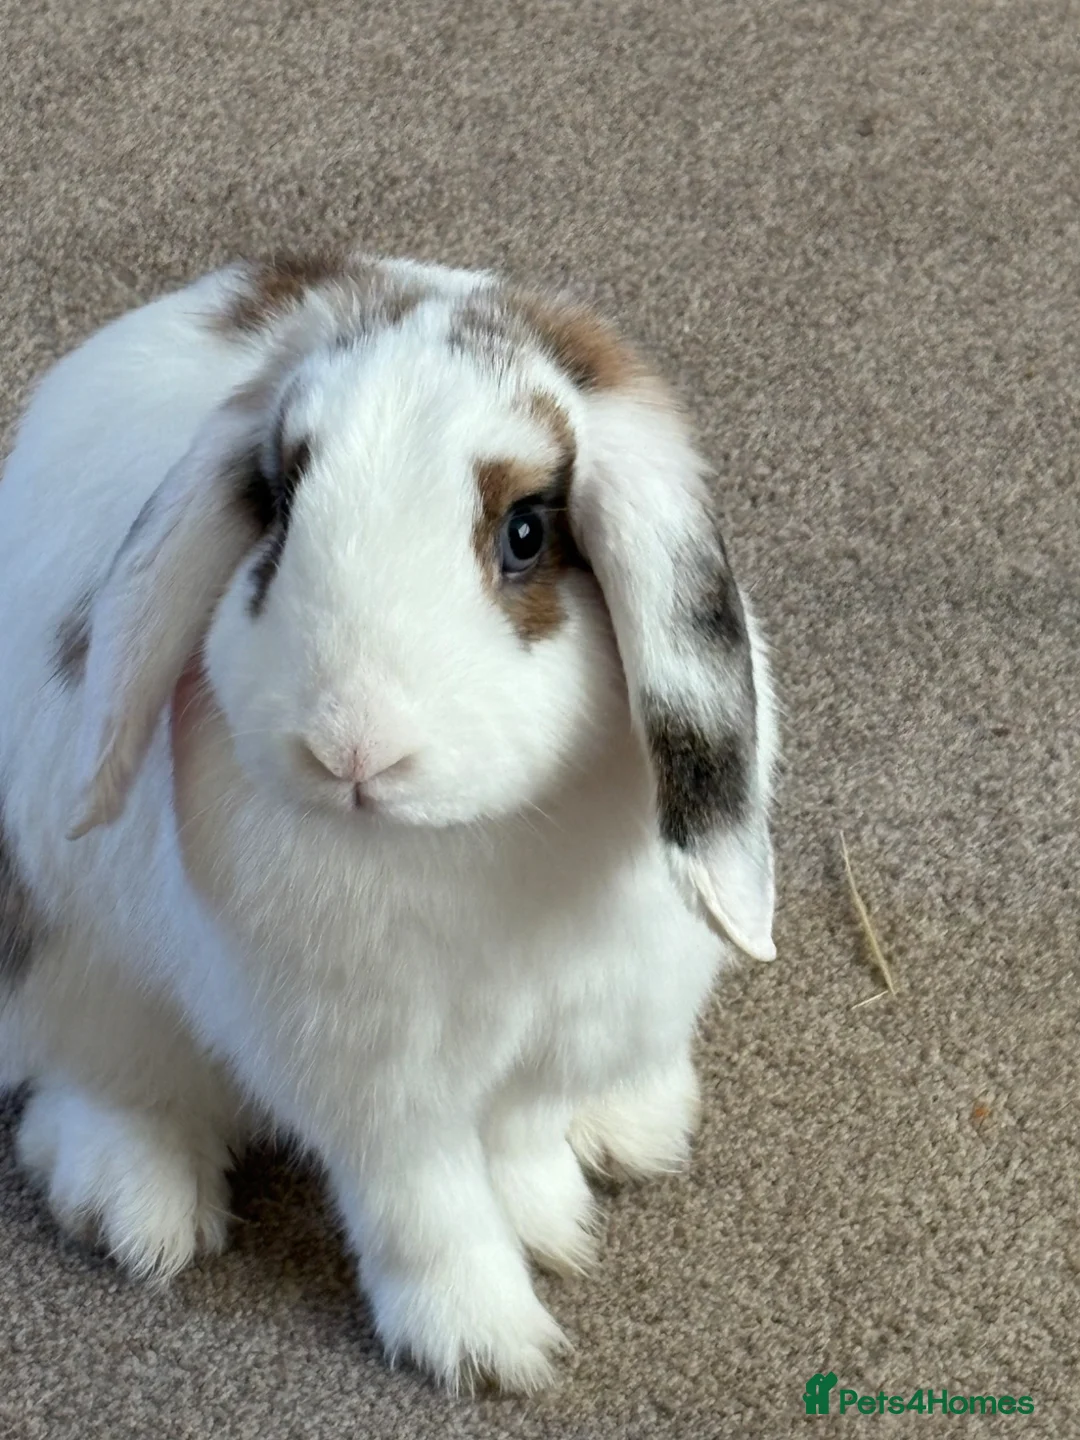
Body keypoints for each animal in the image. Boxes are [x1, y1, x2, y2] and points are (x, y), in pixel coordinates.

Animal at [0, 251, 777, 1393]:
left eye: (527, 532)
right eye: (278, 506)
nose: (352, 750)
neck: (462, 843)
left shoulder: (562, 1029)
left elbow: (522, 1139)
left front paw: (552, 1219)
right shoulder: (373, 1089)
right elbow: (427, 1210)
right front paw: (487, 1348)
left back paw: (637, 1123)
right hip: (82, 978)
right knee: (96, 1083)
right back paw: (141, 1211)